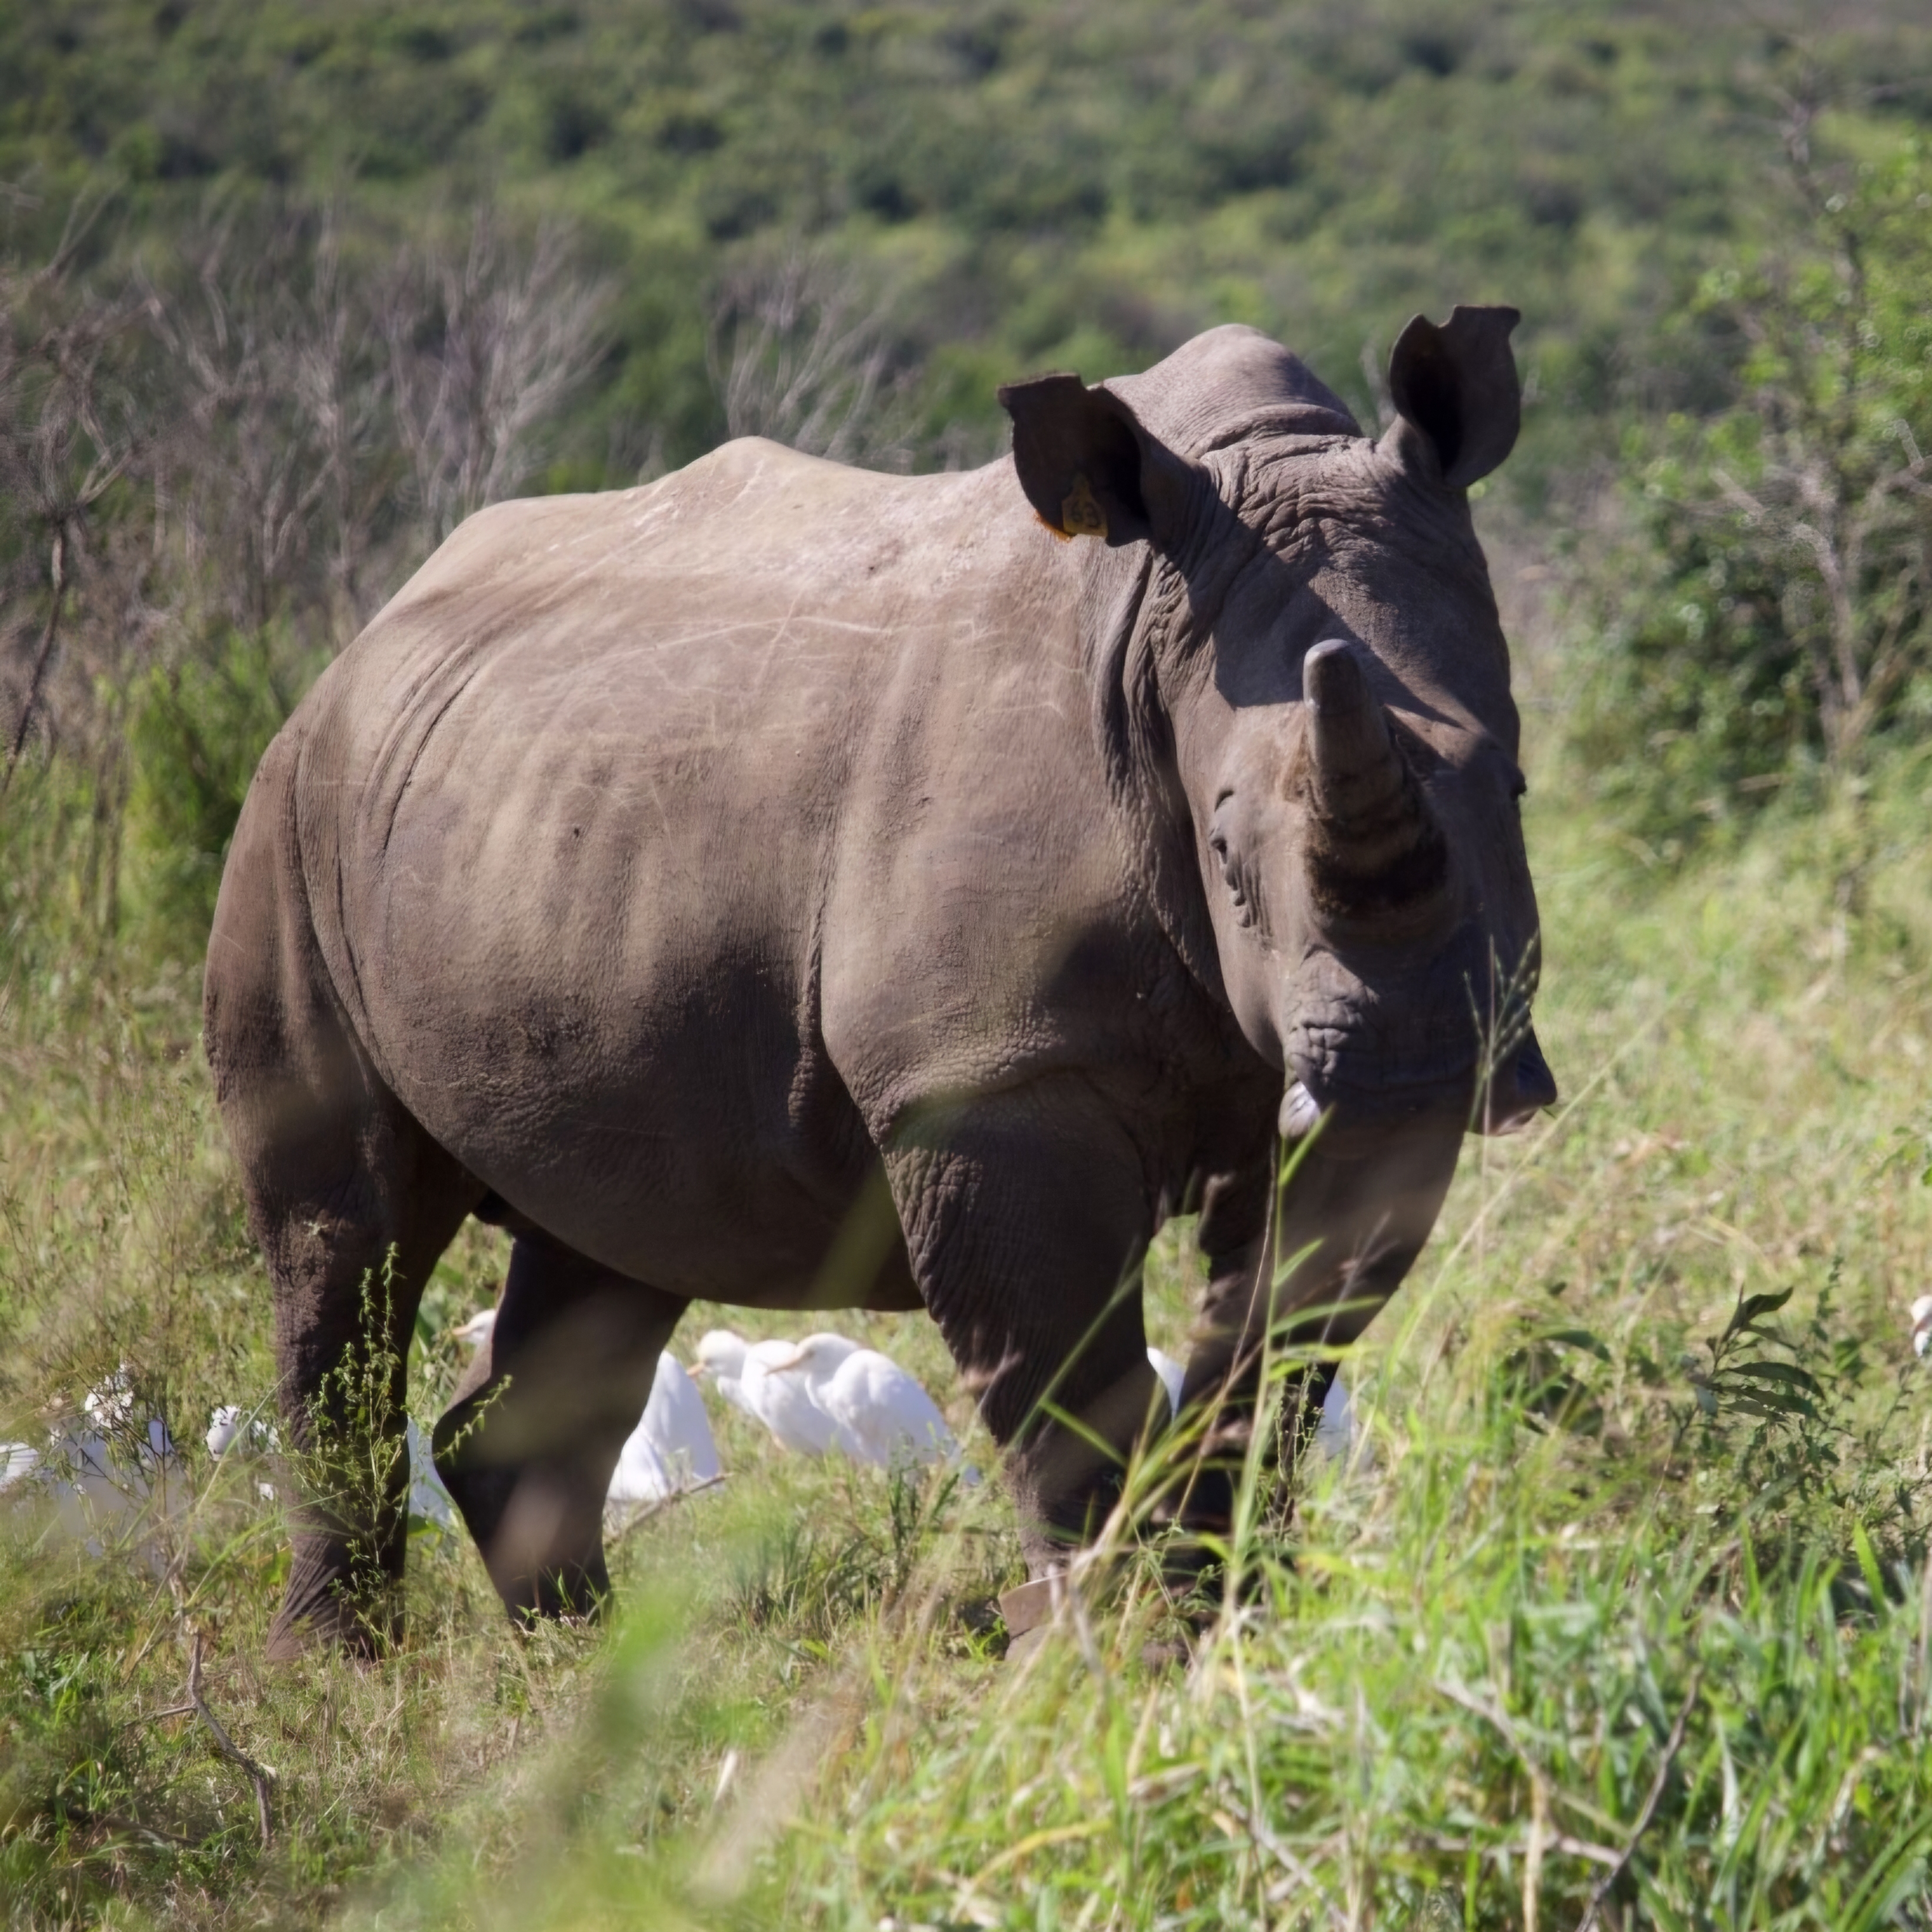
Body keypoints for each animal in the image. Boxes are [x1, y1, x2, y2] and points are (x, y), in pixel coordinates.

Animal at [203, 308, 1554, 1658]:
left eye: (1516, 790)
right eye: (1222, 849)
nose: (1417, 1063)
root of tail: (357, 649)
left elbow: (1274, 1353)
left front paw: (1225, 1622)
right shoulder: (985, 1078)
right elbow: (1063, 1384)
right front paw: (1102, 1654)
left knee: (615, 1239)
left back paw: (582, 1658)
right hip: (292, 811)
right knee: (343, 1232)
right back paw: (339, 1666)